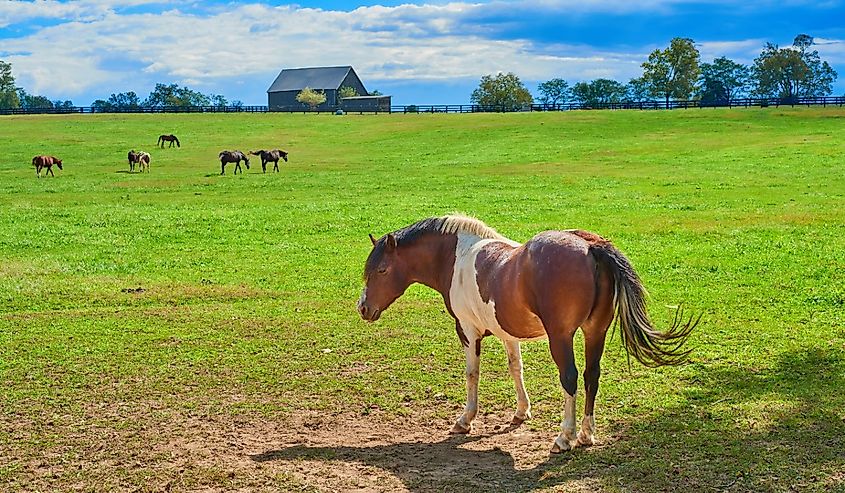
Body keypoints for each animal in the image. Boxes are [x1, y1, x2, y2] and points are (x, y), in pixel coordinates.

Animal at [360, 215, 696, 454]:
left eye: (382, 270)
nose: (363, 308)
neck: (457, 257)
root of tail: (590, 245)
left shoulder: (467, 330)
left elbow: (472, 374)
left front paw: (465, 420)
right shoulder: (507, 332)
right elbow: (516, 368)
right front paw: (521, 412)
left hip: (561, 337)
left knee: (571, 378)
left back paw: (565, 437)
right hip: (594, 331)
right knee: (592, 376)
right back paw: (586, 434)